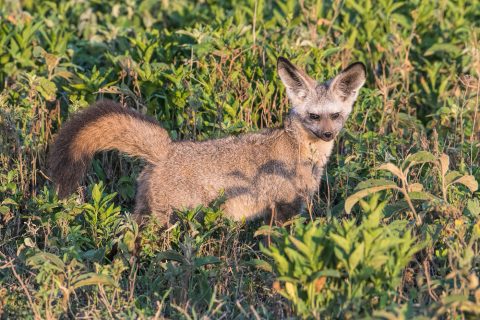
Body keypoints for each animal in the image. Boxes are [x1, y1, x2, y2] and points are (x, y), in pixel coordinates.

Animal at [47, 58, 364, 228]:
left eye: (335, 116)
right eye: (313, 116)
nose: (328, 135)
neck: (303, 152)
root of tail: (167, 149)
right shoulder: (283, 209)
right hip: (165, 219)